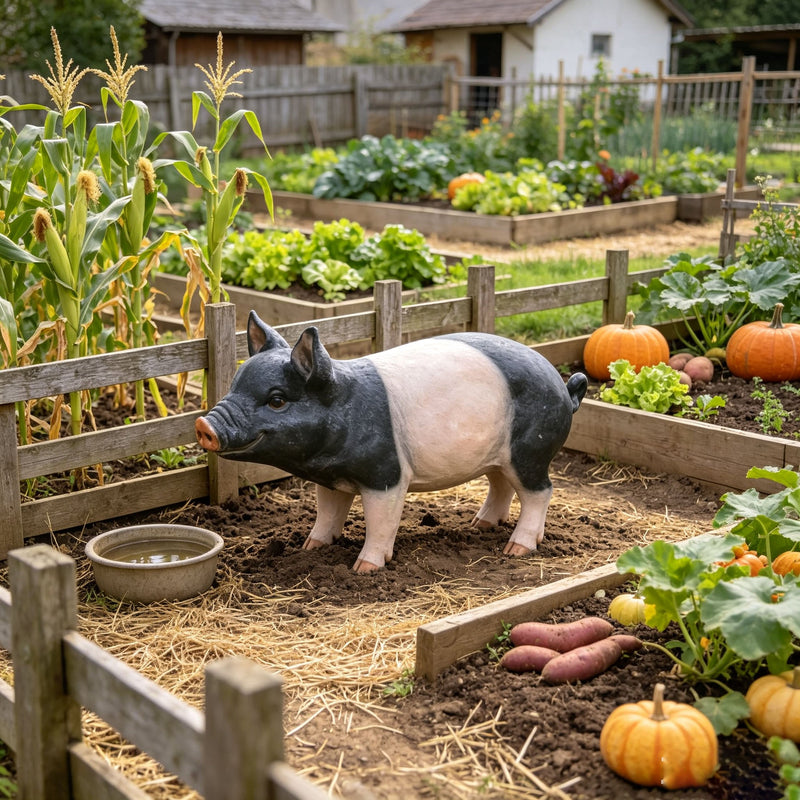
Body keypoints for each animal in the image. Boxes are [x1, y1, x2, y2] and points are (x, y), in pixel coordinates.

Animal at [195, 311, 588, 573]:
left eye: (277, 400)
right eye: (234, 385)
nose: (204, 424)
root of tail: (563, 387)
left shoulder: (387, 474)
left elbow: (381, 522)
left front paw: (364, 569)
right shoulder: (331, 479)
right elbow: (328, 512)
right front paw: (311, 547)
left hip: (531, 450)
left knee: (540, 492)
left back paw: (515, 550)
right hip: (495, 454)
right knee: (500, 485)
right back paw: (480, 526)